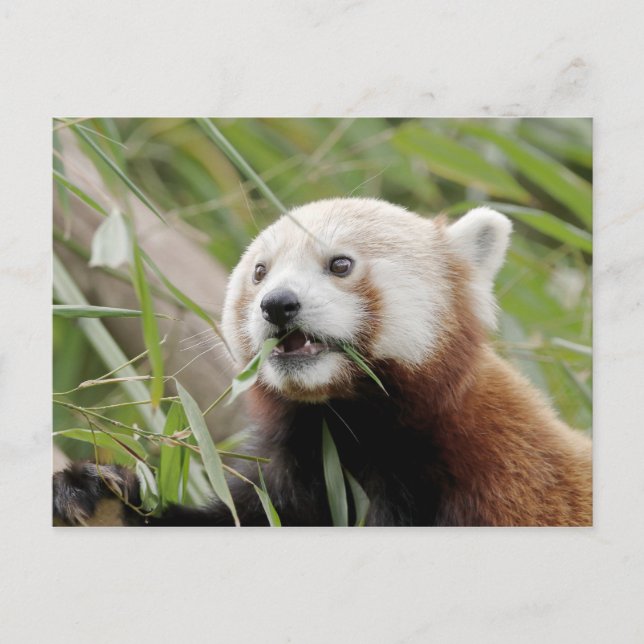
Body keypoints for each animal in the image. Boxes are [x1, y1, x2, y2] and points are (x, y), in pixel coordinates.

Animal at [53, 198, 592, 526]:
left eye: (340, 264)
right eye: (260, 272)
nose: (277, 305)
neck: (350, 426)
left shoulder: (503, 481)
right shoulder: (295, 478)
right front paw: (93, 490)